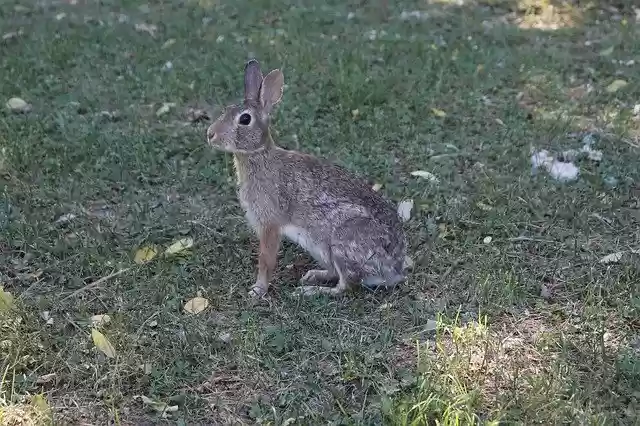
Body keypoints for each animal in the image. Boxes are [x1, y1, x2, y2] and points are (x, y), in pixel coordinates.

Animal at [206, 59, 407, 298]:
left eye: (245, 119)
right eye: (226, 110)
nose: (210, 134)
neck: (258, 154)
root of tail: (394, 268)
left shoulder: (270, 224)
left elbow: (266, 260)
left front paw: (257, 290)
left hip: (342, 244)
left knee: (346, 286)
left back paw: (309, 291)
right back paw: (312, 276)